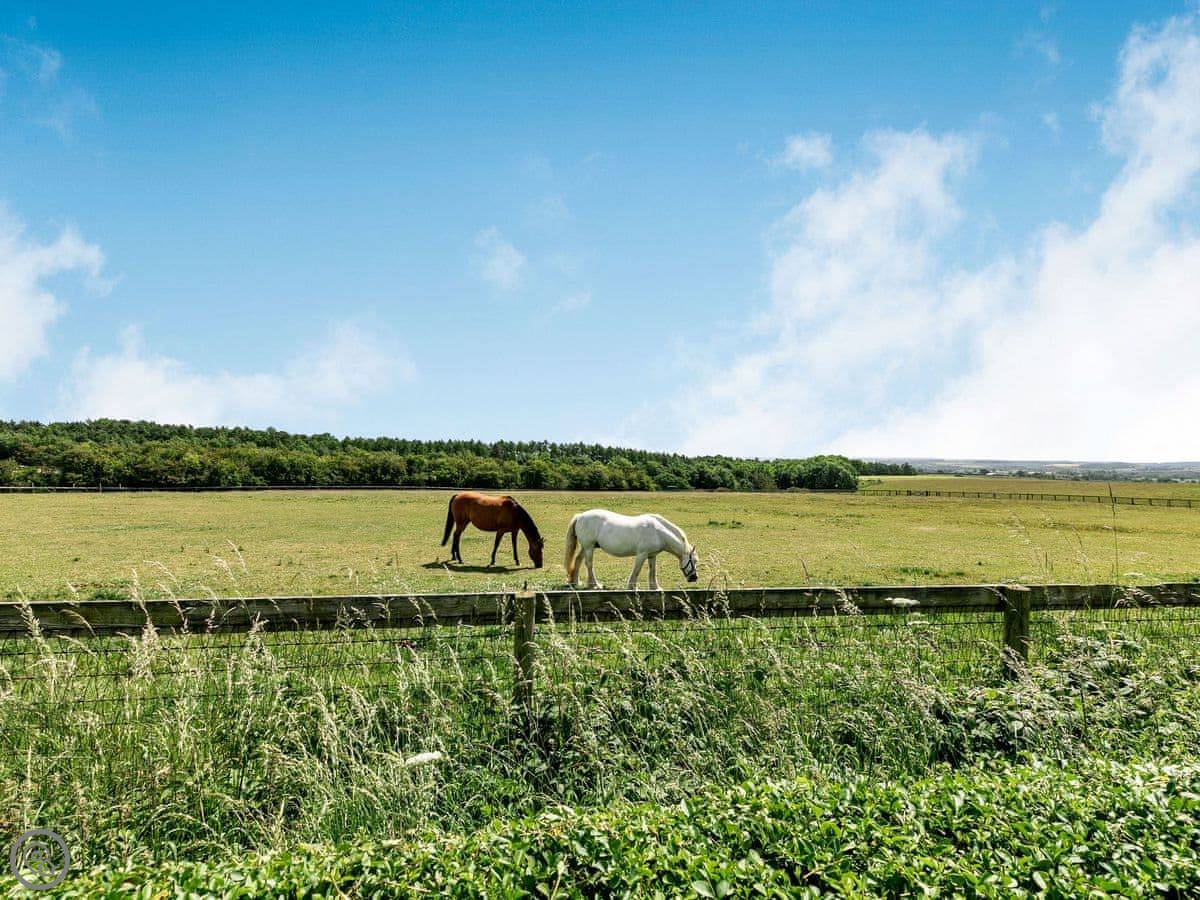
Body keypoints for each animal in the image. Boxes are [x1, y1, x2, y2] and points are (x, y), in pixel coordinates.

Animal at [563, 509, 698, 590]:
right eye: (694, 561)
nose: (694, 578)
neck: (658, 531)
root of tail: (580, 516)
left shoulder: (652, 555)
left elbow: (652, 570)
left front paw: (655, 587)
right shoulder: (642, 554)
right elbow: (637, 570)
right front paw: (632, 587)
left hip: (586, 547)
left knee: (578, 560)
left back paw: (575, 582)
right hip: (589, 547)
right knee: (589, 564)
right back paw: (594, 585)